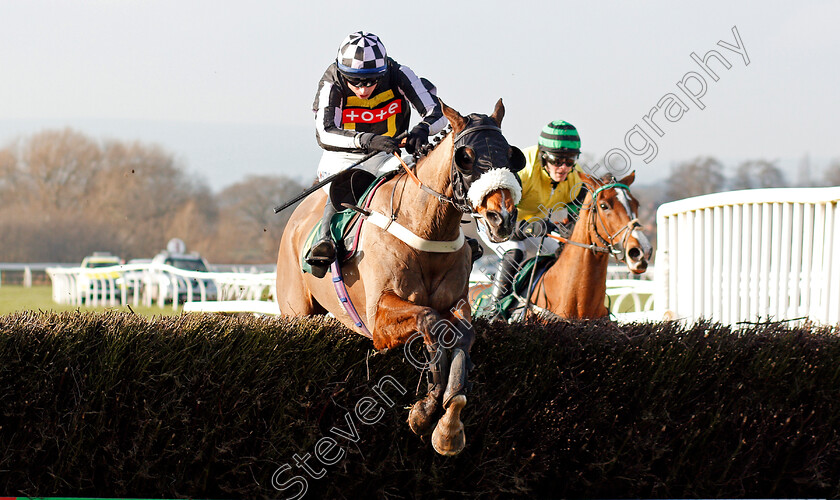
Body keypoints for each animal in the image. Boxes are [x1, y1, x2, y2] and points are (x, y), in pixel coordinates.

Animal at [276, 99, 524, 456]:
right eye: (465, 158)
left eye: (511, 155)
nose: (501, 218)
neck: (425, 227)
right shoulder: (379, 319)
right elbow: (429, 320)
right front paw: (425, 410)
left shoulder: (459, 303)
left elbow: (460, 340)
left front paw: (448, 428)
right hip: (296, 309)